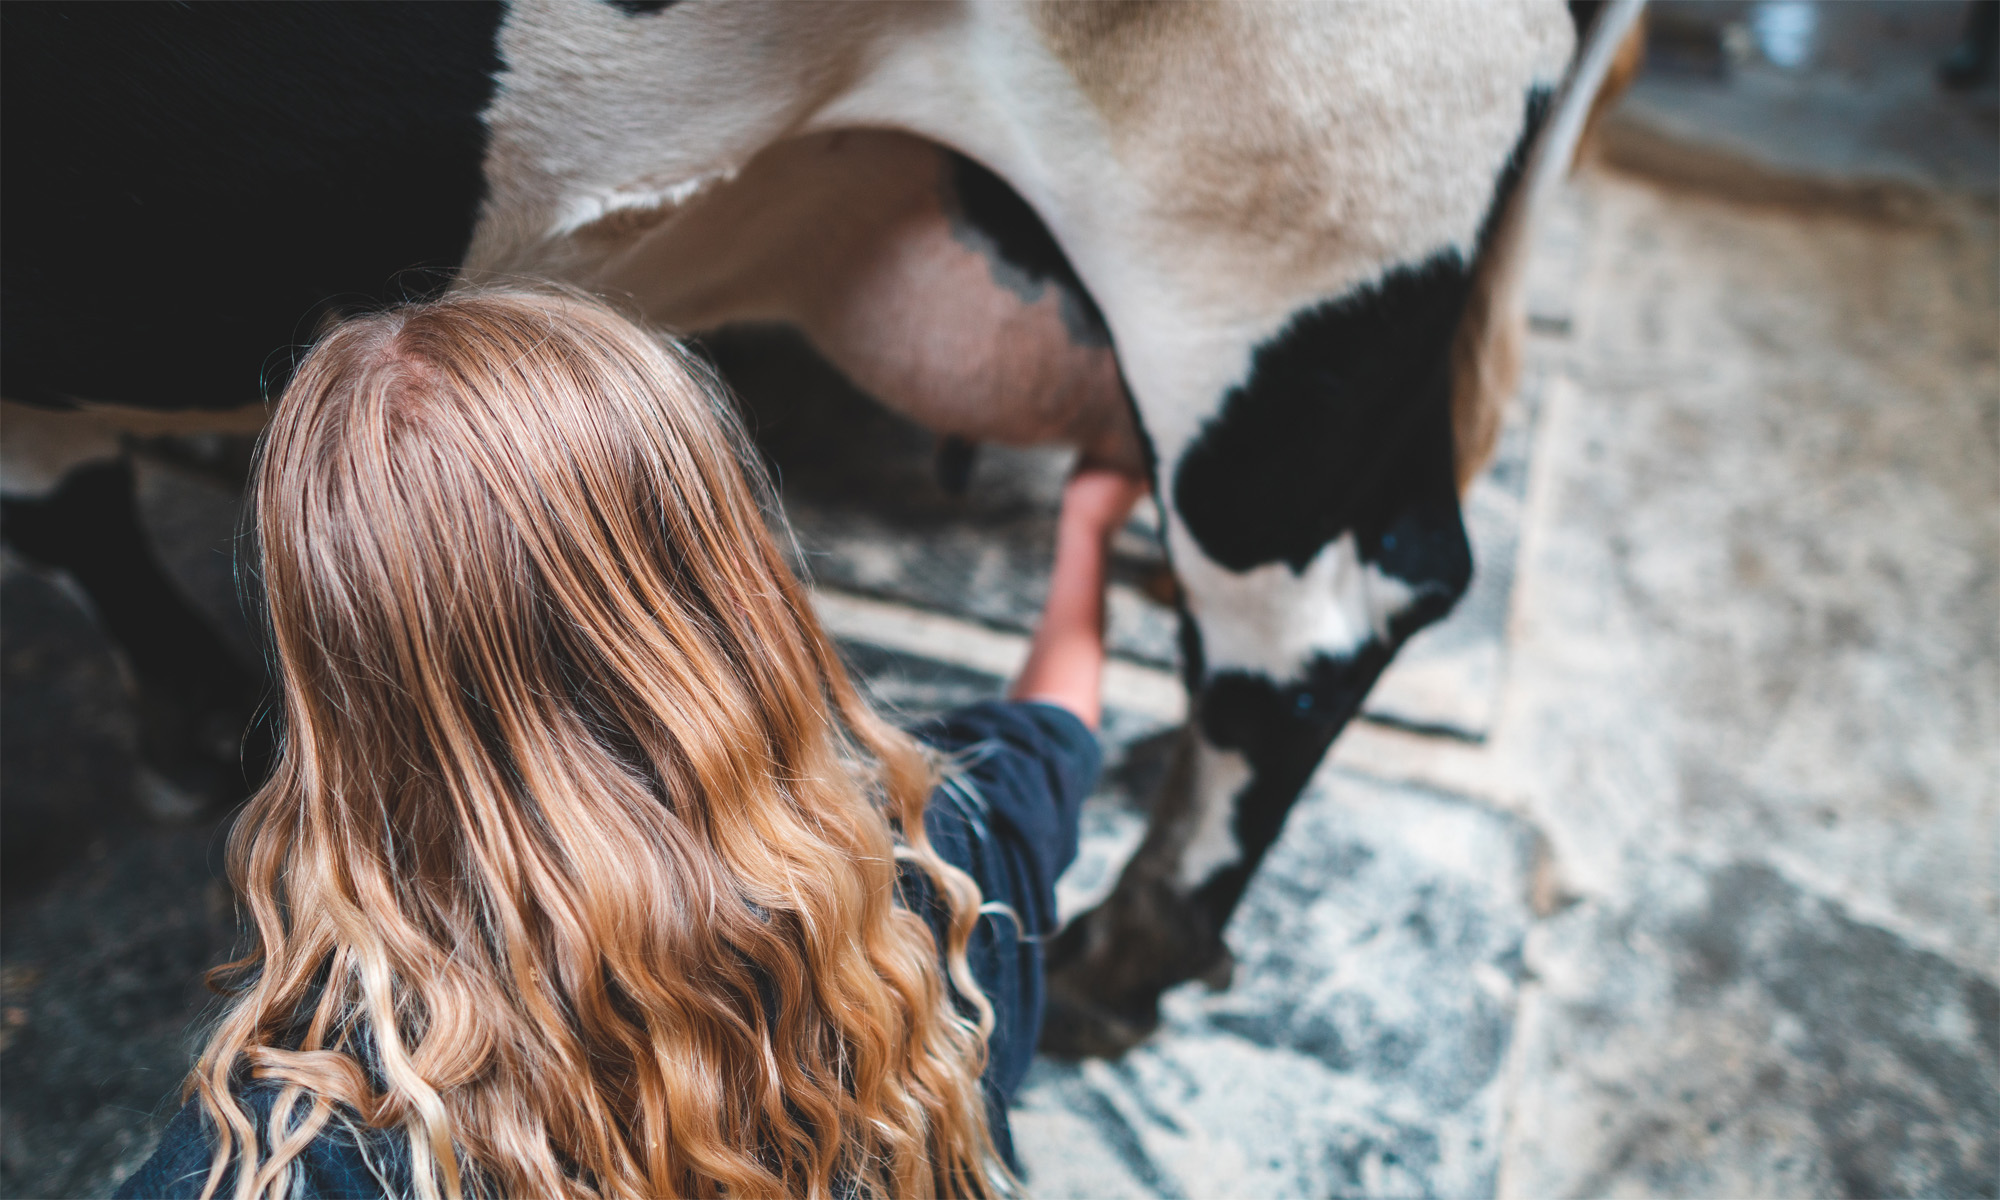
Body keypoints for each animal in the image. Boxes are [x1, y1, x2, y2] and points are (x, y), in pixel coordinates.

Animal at [3, 0, 1640, 1048]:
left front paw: (193, 724)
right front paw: (185, 714)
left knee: (1316, 616)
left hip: (1278, 208)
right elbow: (60, 494)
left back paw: (1123, 960)